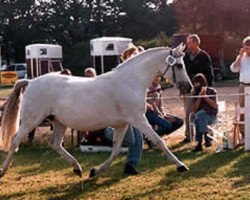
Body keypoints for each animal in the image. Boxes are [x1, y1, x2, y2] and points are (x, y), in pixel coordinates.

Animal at [0, 43, 191, 178]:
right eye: (179, 65)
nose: (188, 87)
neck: (130, 81)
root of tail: (30, 82)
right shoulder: (139, 119)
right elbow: (159, 141)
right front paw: (181, 165)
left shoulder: (123, 124)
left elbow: (115, 150)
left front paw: (95, 171)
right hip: (31, 121)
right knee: (15, 141)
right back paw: (3, 171)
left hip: (59, 122)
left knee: (55, 144)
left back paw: (77, 168)